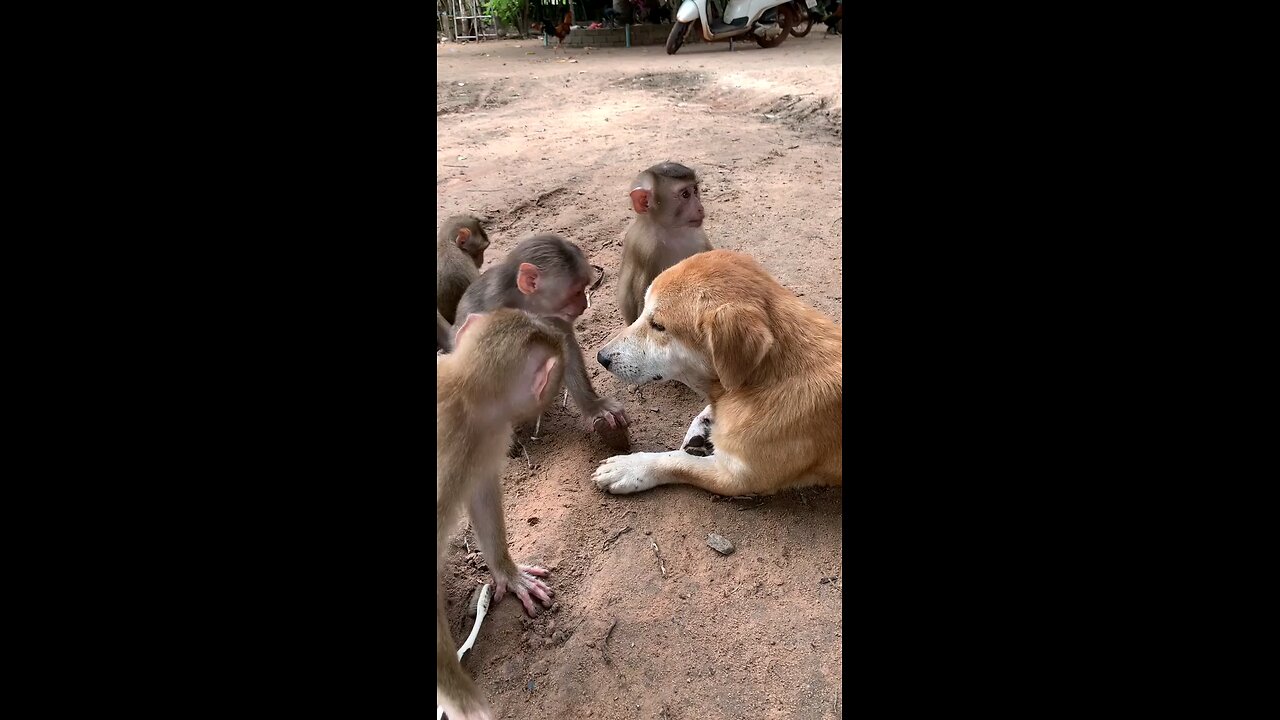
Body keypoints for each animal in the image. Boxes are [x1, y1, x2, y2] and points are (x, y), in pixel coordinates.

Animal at [450, 233, 629, 445]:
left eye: (583, 289)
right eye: (576, 292)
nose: (584, 305)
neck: (524, 304)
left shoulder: (552, 317)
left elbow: (564, 347)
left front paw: (594, 406)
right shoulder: (492, 309)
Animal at [591, 248, 839, 491]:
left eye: (659, 326)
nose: (601, 357)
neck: (762, 379)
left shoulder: (738, 478)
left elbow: (677, 461)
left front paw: (632, 467)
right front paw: (703, 424)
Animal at [616, 162, 716, 325]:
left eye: (695, 190)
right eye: (685, 194)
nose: (700, 208)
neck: (671, 232)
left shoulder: (699, 236)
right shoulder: (648, 250)